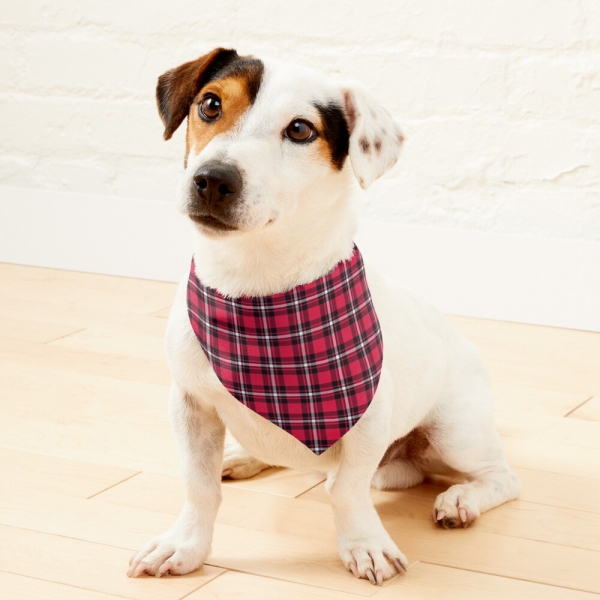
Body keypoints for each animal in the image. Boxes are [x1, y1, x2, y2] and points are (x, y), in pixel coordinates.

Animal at [127, 48, 520, 584]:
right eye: (210, 104)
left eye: (299, 130)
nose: (213, 179)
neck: (256, 289)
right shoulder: (190, 405)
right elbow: (199, 485)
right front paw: (185, 545)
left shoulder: (367, 419)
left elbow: (347, 490)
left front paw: (364, 544)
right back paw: (244, 456)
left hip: (456, 432)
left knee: (500, 477)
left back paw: (461, 499)